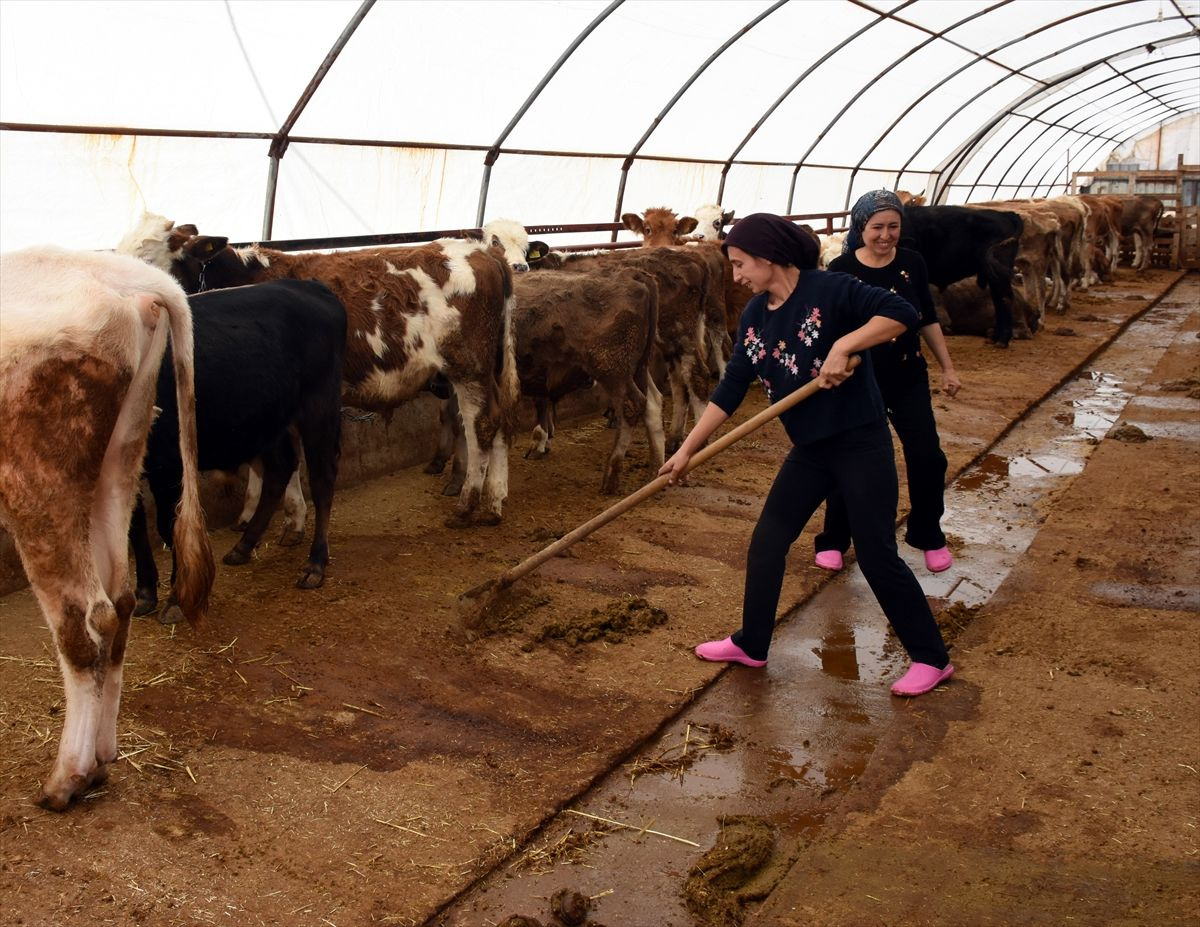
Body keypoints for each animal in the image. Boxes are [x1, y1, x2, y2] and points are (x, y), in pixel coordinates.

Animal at [1, 246, 216, 811]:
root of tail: (129, 276)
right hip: (121, 453)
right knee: (119, 599)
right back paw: (100, 760)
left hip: (37, 475)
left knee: (86, 617)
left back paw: (67, 778)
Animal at [121, 218, 520, 533]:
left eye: (148, 263)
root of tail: (483, 253)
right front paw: (251, 514)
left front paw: (291, 520)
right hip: (489, 368)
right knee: (500, 420)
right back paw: (495, 502)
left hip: (468, 366)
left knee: (481, 426)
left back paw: (467, 505)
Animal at [132, 277, 348, 624]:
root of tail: (311, 286)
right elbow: (136, 530)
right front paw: (145, 593)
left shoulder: (170, 464)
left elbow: (168, 525)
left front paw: (176, 599)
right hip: (269, 420)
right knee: (280, 470)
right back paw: (244, 546)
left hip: (319, 406)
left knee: (322, 479)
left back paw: (315, 563)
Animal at [902, 204, 1022, 348]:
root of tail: (1006, 214)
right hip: (992, 274)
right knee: (998, 300)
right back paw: (994, 338)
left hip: (999, 270)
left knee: (1005, 298)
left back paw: (1002, 340)